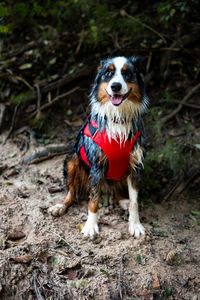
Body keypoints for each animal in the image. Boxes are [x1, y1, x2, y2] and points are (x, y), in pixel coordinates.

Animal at [48, 56, 148, 239]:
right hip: (72, 160)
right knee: (71, 193)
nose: (115, 86)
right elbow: (93, 201)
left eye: (127, 73)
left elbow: (135, 201)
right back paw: (60, 206)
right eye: (108, 73)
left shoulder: (135, 165)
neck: (118, 118)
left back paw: (123, 201)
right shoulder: (96, 166)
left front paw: (135, 225)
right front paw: (90, 226)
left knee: (116, 191)